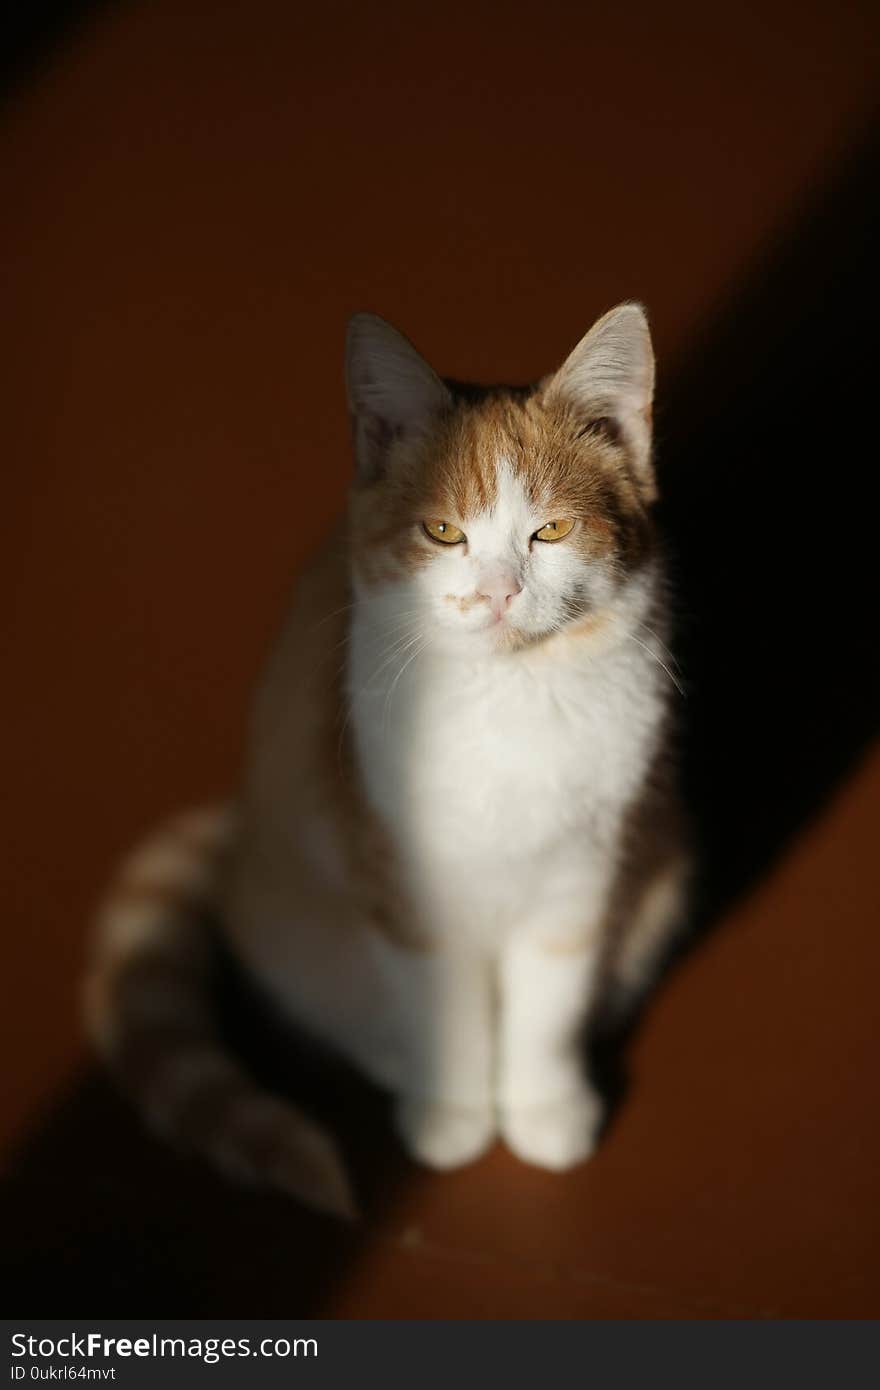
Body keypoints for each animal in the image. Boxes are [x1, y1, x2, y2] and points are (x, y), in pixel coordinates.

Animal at [82, 301, 689, 1217]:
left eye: (551, 529)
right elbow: (443, 1001)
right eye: (442, 532)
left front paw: (544, 1104)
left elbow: (550, 998)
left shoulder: (581, 872)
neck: (509, 700)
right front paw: (454, 1109)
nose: (498, 593)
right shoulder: (398, 875)